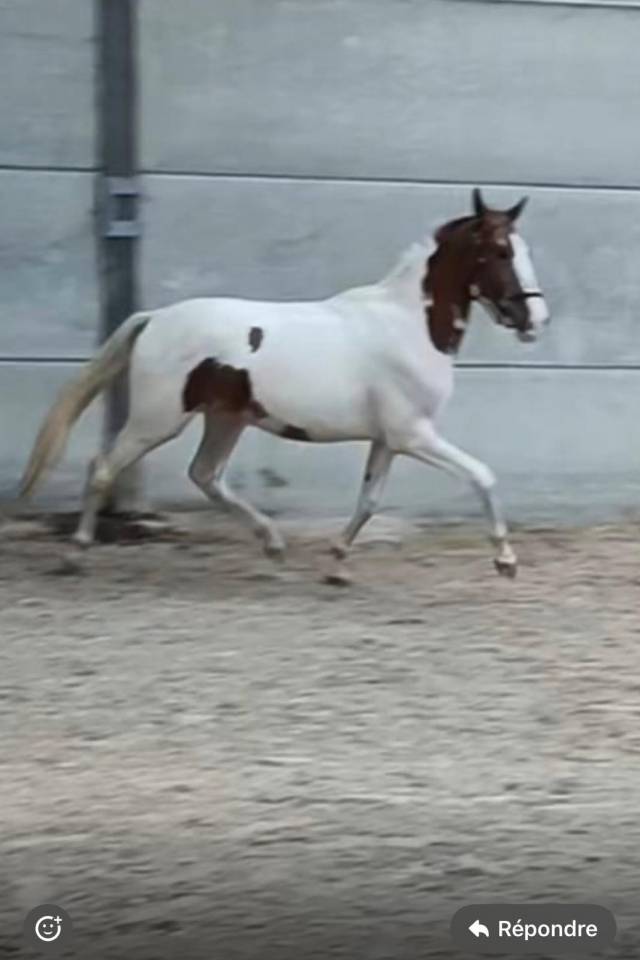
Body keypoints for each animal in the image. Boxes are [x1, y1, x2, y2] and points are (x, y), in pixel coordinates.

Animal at [19, 188, 549, 582]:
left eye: (524, 250)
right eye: (500, 251)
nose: (535, 319)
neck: (408, 325)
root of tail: (154, 318)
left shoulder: (388, 439)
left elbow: (369, 500)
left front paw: (336, 565)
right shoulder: (413, 434)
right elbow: (482, 475)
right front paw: (505, 560)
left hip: (224, 419)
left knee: (206, 476)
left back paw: (274, 545)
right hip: (158, 419)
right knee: (104, 467)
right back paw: (75, 555)